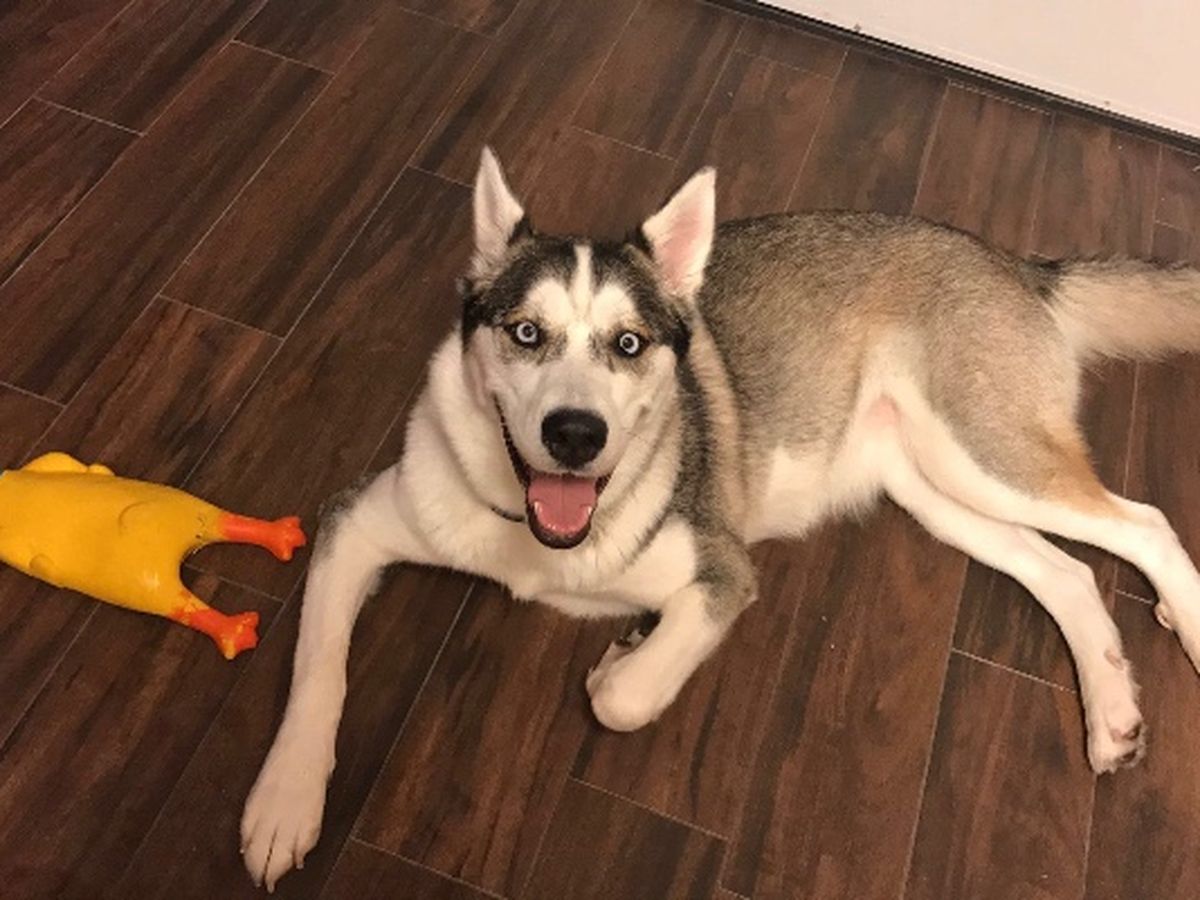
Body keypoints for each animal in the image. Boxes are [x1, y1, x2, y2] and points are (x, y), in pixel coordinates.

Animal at [239, 147, 1200, 889]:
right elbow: (317, 669)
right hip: (937, 488)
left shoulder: (722, 575)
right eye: (524, 334)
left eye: (629, 344)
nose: (576, 435)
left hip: (984, 451)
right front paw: (284, 804)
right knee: (1066, 570)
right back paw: (1113, 714)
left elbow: (625, 698)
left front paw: (622, 656)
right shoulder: (357, 523)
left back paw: (1180, 628)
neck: (540, 538)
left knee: (1142, 523)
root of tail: (1013, 261)